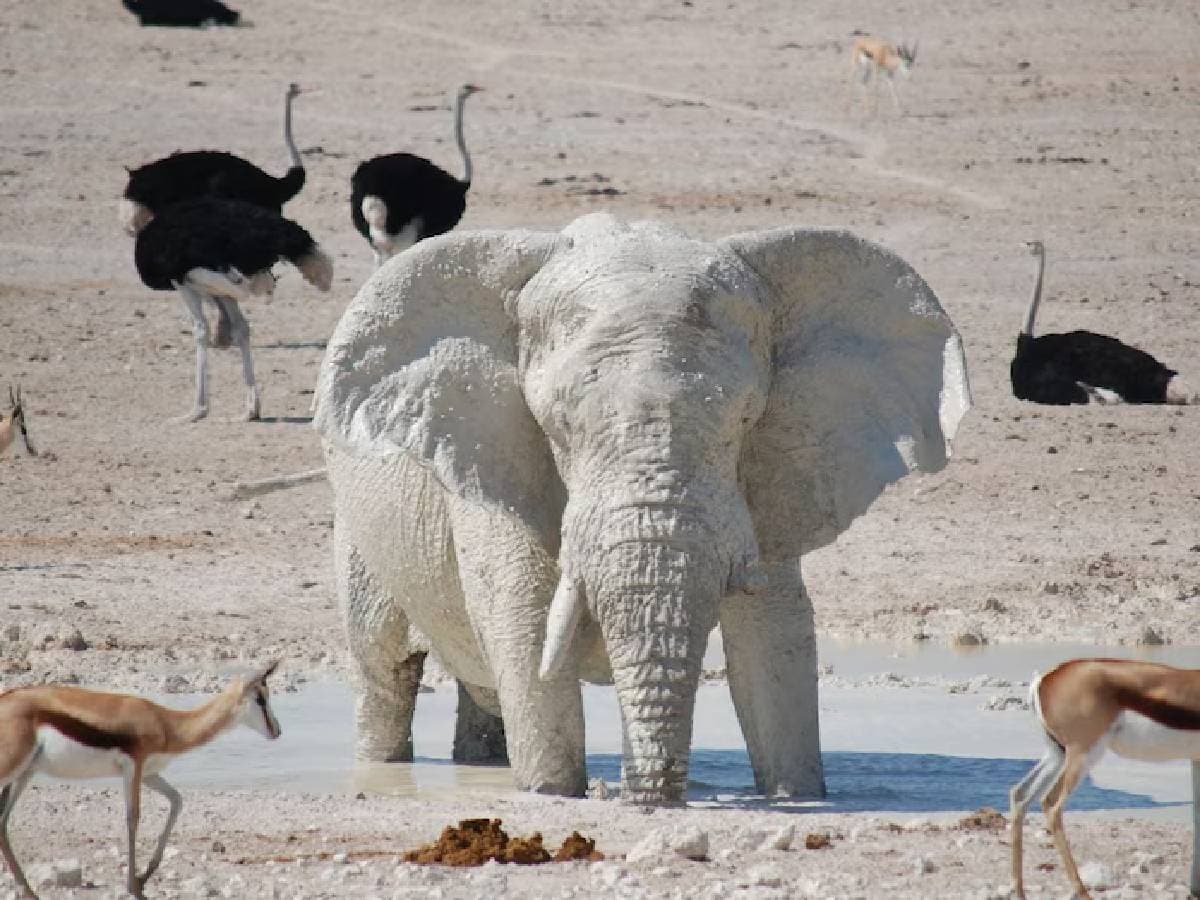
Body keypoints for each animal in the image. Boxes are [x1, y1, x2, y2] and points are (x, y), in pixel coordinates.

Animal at [314, 214, 969, 806]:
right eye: (558, 427)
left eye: (745, 420)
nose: (648, 798)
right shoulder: (491, 454)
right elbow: (522, 618)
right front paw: (553, 794)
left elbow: (774, 632)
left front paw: (796, 797)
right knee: (385, 668)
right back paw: (384, 768)